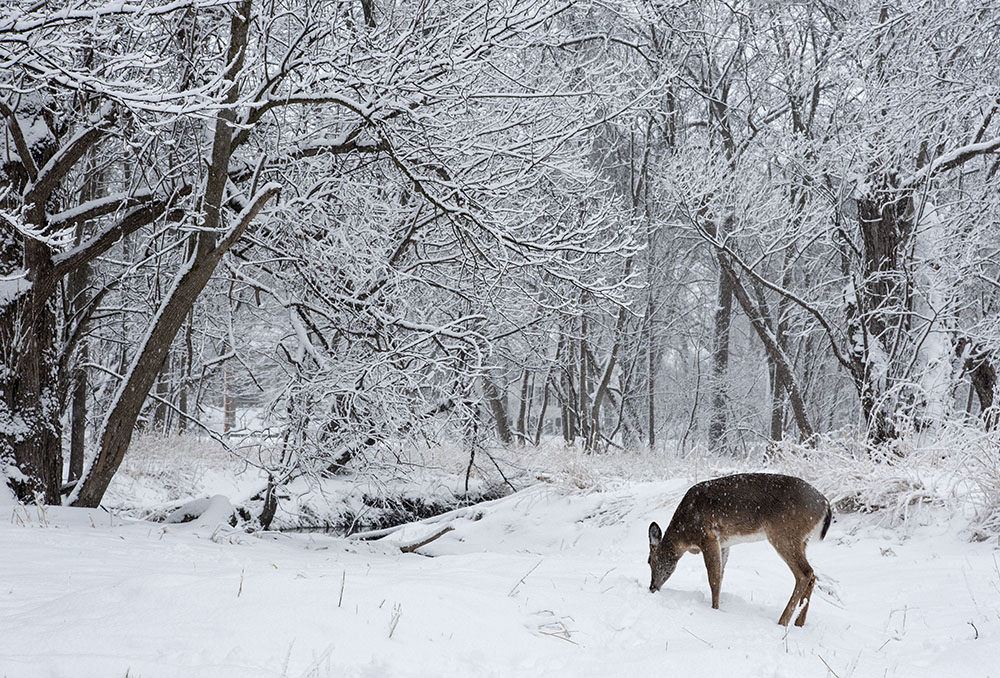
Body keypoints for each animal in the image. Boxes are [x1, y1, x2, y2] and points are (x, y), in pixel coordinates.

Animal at [644, 472, 832, 628]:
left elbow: (713, 579)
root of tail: (825, 504)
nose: (652, 587)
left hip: (783, 533)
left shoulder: (707, 536)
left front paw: (714, 610)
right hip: (802, 540)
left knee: (804, 573)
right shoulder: (724, 544)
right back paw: (799, 622)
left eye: (650, 561)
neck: (684, 534)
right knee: (812, 576)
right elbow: (720, 576)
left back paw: (782, 621)